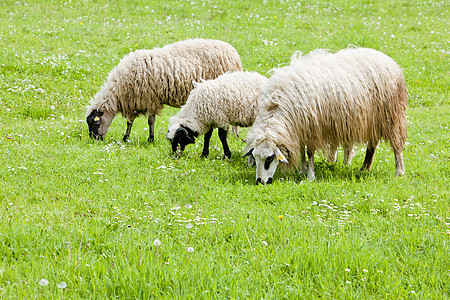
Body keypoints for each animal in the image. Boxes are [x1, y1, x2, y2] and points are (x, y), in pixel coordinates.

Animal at [86, 38, 244, 142]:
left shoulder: (150, 99)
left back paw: (235, 136)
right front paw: (126, 137)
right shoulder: (135, 101)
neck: (119, 88)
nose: (95, 140)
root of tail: (233, 53)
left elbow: (150, 121)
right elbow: (130, 122)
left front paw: (150, 139)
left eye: (96, 123)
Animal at [244, 47, 410, 184]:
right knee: (372, 144)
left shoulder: (312, 127)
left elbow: (309, 152)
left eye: (269, 159)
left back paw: (399, 171)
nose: (260, 182)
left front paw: (310, 176)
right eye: (255, 158)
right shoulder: (301, 128)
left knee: (396, 145)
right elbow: (302, 152)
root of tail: (387, 59)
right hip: (373, 120)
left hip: (391, 116)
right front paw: (303, 170)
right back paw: (364, 167)